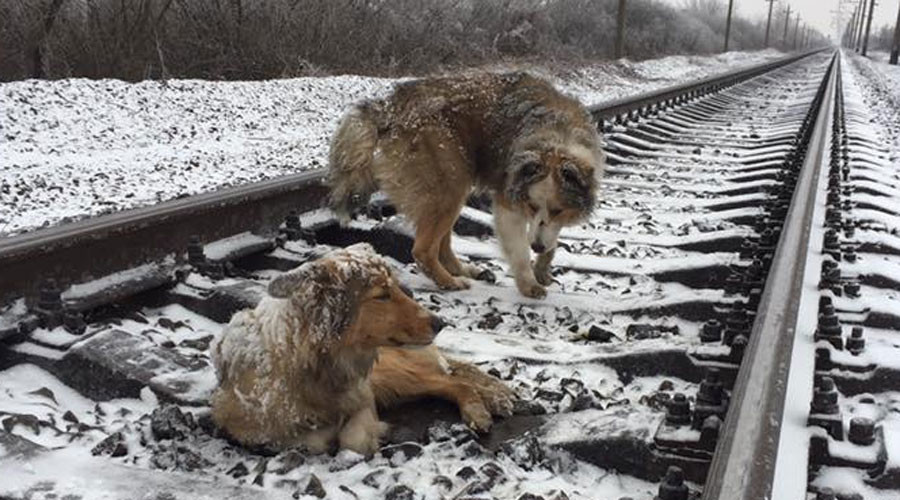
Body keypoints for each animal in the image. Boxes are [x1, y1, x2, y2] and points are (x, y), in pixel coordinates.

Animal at [207, 244, 510, 456]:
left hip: (392, 374)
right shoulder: (243, 426)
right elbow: (308, 440)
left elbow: (352, 440)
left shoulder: (364, 395)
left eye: (396, 288)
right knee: (451, 379)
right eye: (382, 295)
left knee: (455, 381)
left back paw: (482, 408)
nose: (440, 323)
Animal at [326, 70, 604, 296]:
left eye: (558, 210)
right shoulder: (508, 201)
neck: (557, 137)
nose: (536, 245)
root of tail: (389, 106)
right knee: (423, 250)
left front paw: (543, 267)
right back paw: (449, 282)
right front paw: (528, 282)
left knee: (442, 244)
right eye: (531, 206)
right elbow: (519, 249)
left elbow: (550, 237)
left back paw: (466, 271)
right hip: (449, 181)